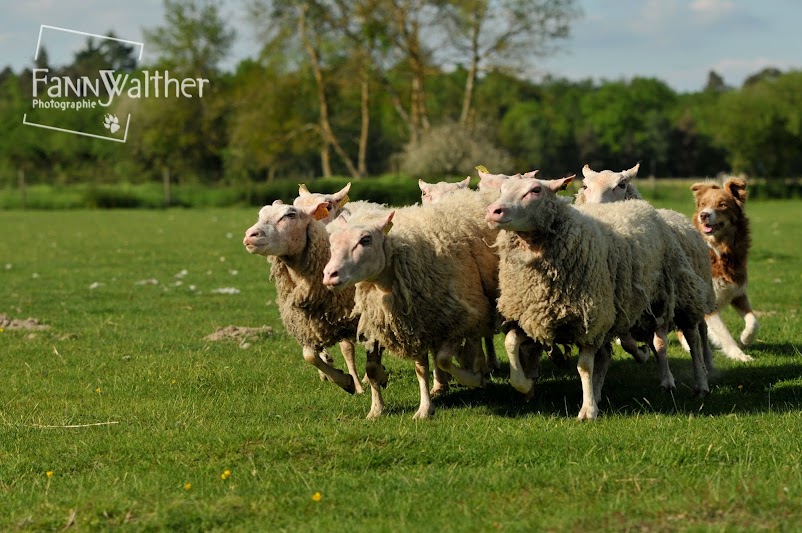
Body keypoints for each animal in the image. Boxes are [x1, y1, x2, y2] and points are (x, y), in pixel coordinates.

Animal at [241, 198, 382, 394]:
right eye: (260, 214)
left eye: (290, 215)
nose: (250, 235)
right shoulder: (307, 324)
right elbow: (309, 355)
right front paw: (343, 380)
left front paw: (354, 382)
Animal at [318, 189, 494, 418]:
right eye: (333, 242)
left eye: (365, 240)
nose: (329, 275)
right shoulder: (409, 322)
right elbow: (408, 368)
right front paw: (379, 409)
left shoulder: (457, 320)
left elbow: (443, 359)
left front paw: (471, 380)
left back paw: (480, 370)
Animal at [488, 177, 708, 418]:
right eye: (502, 189)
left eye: (536, 190)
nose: (493, 211)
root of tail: (642, 205)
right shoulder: (531, 318)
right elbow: (510, 343)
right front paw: (525, 385)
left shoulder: (591, 323)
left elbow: (584, 366)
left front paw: (588, 410)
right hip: (635, 309)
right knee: (636, 348)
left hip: (681, 297)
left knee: (693, 339)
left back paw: (700, 384)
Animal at [688, 177, 756, 360]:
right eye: (703, 204)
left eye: (722, 205)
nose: (704, 215)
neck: (719, 252)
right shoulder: (707, 302)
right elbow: (724, 333)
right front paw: (739, 355)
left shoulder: (737, 291)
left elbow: (753, 320)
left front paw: (744, 339)